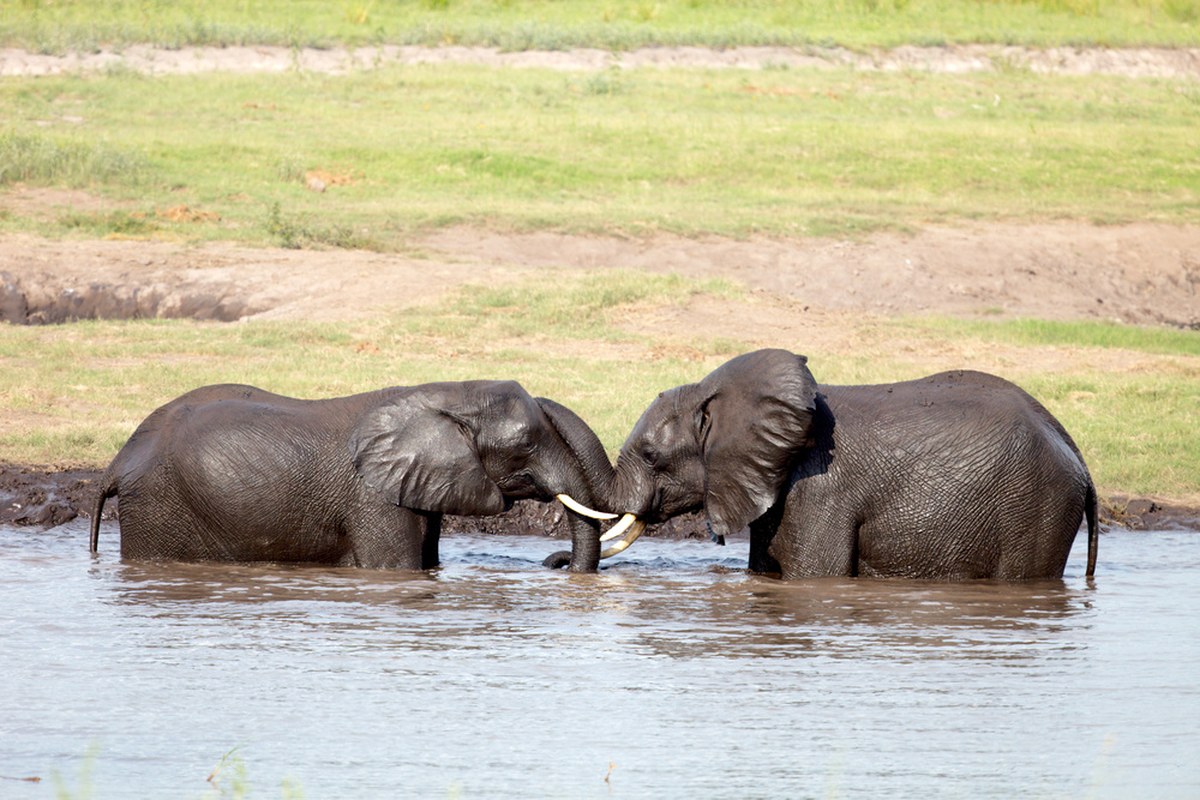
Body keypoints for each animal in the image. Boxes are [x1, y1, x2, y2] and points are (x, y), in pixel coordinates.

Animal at [91, 381, 619, 568]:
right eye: (525, 445)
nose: (553, 562)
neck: (443, 395)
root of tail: (117, 464)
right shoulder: (373, 498)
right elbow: (397, 568)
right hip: (159, 510)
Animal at [571, 350, 1099, 582]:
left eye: (651, 457)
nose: (556, 563)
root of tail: (1077, 454)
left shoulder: (820, 492)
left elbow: (815, 575)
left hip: (1035, 510)